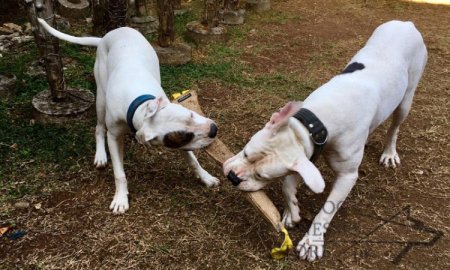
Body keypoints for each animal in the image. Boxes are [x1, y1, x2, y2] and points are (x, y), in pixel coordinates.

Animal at [39, 18, 220, 213]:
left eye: (191, 114)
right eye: (183, 137)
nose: (214, 130)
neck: (140, 106)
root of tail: (107, 35)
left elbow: (193, 160)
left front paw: (206, 177)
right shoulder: (113, 137)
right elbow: (119, 173)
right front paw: (120, 198)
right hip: (100, 99)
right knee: (99, 127)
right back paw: (100, 154)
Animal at [223, 21, 428, 262]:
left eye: (262, 176)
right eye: (246, 152)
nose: (232, 177)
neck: (318, 123)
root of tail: (406, 23)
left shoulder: (347, 175)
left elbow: (327, 209)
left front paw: (312, 241)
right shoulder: (307, 155)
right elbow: (287, 184)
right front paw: (292, 211)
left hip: (406, 99)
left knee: (395, 127)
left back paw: (389, 152)